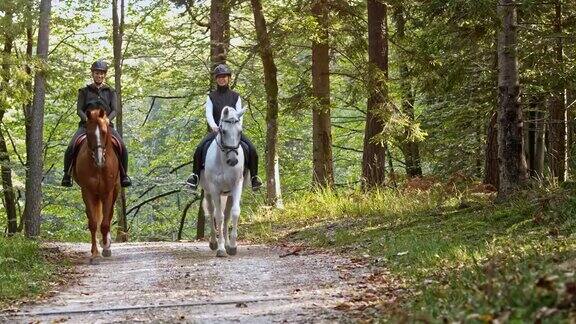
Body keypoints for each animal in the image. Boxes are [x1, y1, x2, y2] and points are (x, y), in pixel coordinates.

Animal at [73, 107, 120, 262]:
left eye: (104, 132)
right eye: (88, 133)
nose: (99, 160)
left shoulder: (108, 192)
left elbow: (105, 223)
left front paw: (106, 247)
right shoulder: (87, 191)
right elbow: (93, 223)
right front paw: (94, 253)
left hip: (115, 190)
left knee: (109, 216)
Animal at [199, 105, 246, 256]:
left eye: (240, 131)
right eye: (223, 131)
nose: (233, 160)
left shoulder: (237, 185)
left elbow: (235, 213)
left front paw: (232, 246)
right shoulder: (214, 189)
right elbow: (218, 216)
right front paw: (220, 248)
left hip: (228, 194)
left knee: (227, 216)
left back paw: (226, 243)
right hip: (208, 192)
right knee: (211, 212)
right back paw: (214, 242)